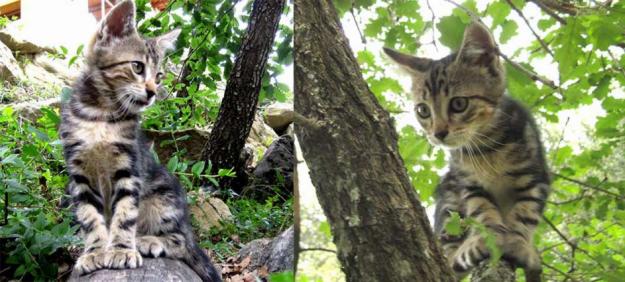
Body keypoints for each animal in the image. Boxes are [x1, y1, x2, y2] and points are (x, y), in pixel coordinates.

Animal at [60, 1, 222, 280]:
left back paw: (147, 240)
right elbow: (89, 217)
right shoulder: (79, 174)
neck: (101, 114)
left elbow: (125, 214)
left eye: (158, 76)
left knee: (180, 241)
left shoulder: (129, 168)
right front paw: (94, 252)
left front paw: (121, 250)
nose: (153, 92)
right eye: (137, 67)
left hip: (163, 198)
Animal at [382, 20, 548, 278]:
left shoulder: (535, 177)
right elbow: (481, 209)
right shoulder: (468, 183)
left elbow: (526, 211)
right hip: (449, 200)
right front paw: (488, 236)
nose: (438, 133)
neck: (486, 147)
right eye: (423, 111)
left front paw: (518, 242)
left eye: (459, 104)